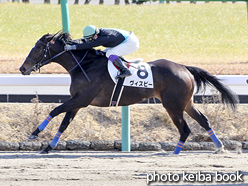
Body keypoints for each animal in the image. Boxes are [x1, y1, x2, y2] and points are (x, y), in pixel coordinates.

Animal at [19, 32, 238, 155]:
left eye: (37, 48)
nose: (22, 68)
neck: (85, 65)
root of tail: (184, 68)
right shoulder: (77, 101)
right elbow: (64, 123)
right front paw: (49, 147)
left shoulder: (82, 99)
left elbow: (55, 110)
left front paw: (34, 133)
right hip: (186, 103)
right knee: (204, 120)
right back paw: (219, 146)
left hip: (173, 105)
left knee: (185, 129)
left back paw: (175, 153)